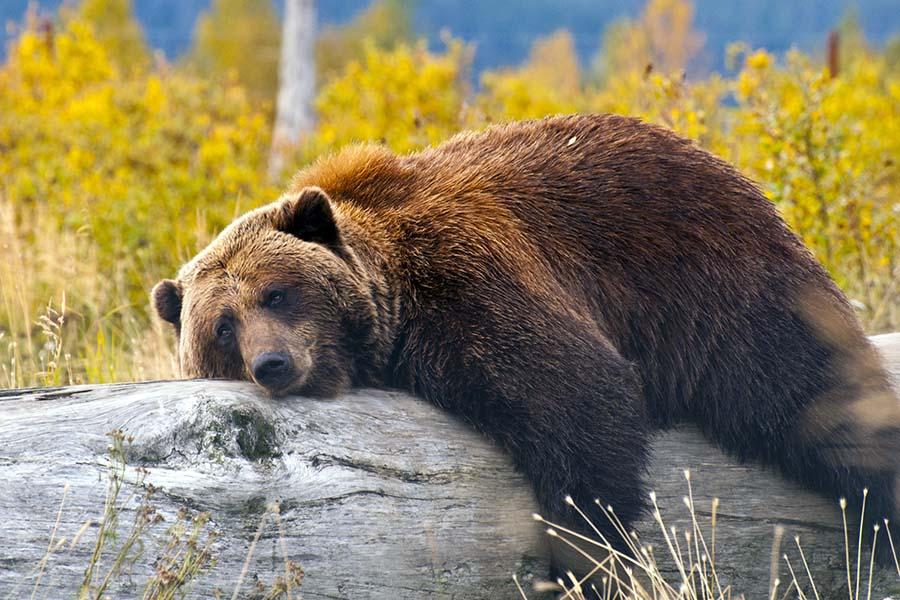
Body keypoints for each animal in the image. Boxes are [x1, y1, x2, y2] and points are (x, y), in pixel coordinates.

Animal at [153, 113, 900, 567]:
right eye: (222, 325)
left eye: (276, 292)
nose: (273, 363)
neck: (398, 301)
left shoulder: (471, 277)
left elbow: (577, 395)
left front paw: (588, 550)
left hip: (724, 291)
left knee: (817, 400)